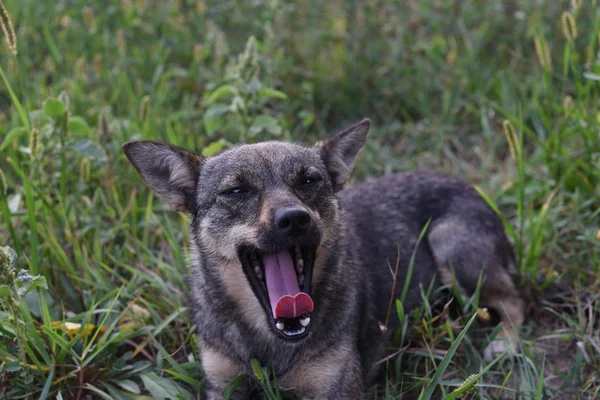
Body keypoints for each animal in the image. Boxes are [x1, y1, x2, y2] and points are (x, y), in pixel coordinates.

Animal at [123, 119, 524, 400]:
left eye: (309, 181)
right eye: (236, 191)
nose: (294, 219)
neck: (270, 341)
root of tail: (476, 191)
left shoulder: (334, 388)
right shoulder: (222, 381)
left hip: (451, 248)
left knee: (516, 300)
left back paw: (505, 342)